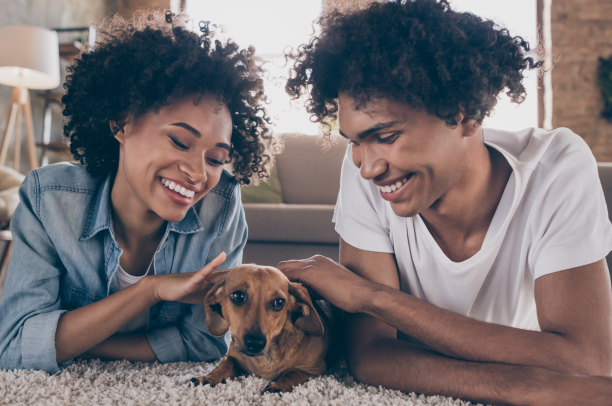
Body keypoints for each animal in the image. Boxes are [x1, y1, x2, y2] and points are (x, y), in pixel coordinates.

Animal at [191, 264, 338, 394]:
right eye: (237, 296)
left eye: (279, 302)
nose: (255, 344)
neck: (267, 357)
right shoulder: (231, 355)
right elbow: (226, 363)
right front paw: (209, 377)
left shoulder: (314, 370)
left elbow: (292, 372)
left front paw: (279, 386)